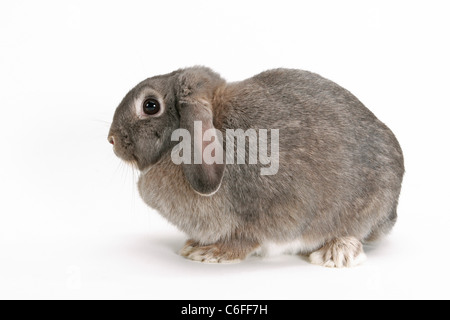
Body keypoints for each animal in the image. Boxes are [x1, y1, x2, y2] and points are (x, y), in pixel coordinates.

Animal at [108, 67, 404, 268]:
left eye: (150, 105)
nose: (111, 139)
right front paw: (194, 246)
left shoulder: (271, 210)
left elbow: (247, 237)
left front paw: (211, 253)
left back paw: (335, 252)